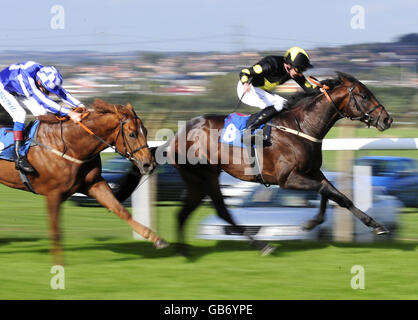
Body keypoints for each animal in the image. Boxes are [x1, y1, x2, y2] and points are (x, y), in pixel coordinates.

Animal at [0, 99, 167, 264]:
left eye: (145, 131)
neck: (69, 145)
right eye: (132, 134)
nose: (149, 165)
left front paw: (155, 238)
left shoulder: (94, 184)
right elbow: (55, 227)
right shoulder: (54, 193)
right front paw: (58, 262)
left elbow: (120, 209)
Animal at [166, 72, 392, 252]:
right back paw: (262, 246)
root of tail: (177, 135)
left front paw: (374, 225)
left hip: (199, 181)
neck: (302, 127)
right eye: (364, 95)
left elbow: (336, 195)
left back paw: (184, 250)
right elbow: (328, 191)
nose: (387, 119)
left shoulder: (312, 172)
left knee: (183, 214)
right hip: (205, 176)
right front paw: (311, 224)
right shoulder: (287, 178)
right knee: (220, 211)